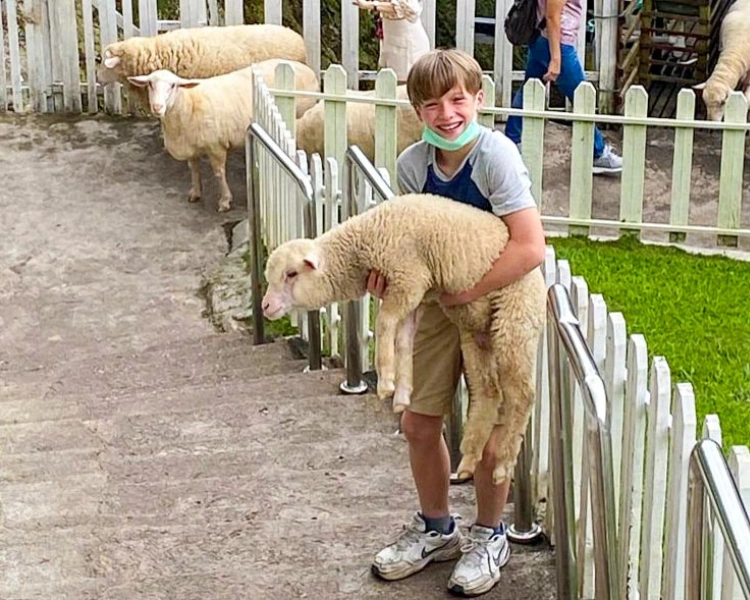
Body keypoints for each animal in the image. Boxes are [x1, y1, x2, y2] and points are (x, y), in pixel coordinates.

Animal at [128, 59, 320, 212]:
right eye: (150, 84)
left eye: (173, 85)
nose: (157, 107)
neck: (189, 104)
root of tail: (308, 71)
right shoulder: (191, 146)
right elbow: (194, 169)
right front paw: (195, 192)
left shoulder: (215, 146)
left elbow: (219, 173)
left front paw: (225, 200)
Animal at [261, 193, 547, 485]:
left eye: (291, 274)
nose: (265, 306)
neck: (362, 244)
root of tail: (539, 278)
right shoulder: (412, 293)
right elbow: (404, 341)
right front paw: (402, 394)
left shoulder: (408, 279)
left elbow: (384, 323)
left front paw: (386, 382)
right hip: (476, 333)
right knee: (489, 391)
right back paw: (468, 462)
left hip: (514, 322)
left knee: (522, 395)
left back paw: (502, 465)